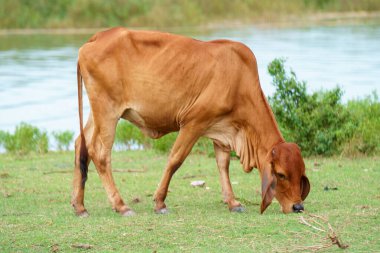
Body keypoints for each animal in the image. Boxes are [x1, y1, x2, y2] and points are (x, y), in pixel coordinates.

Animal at [70, 27, 308, 217]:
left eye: (301, 173)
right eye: (281, 174)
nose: (298, 207)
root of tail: (98, 37)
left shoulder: (222, 130)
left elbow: (223, 165)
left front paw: (232, 202)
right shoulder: (193, 123)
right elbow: (175, 160)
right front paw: (159, 202)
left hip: (97, 113)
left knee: (81, 145)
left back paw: (79, 206)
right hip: (108, 111)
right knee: (100, 153)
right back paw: (121, 206)